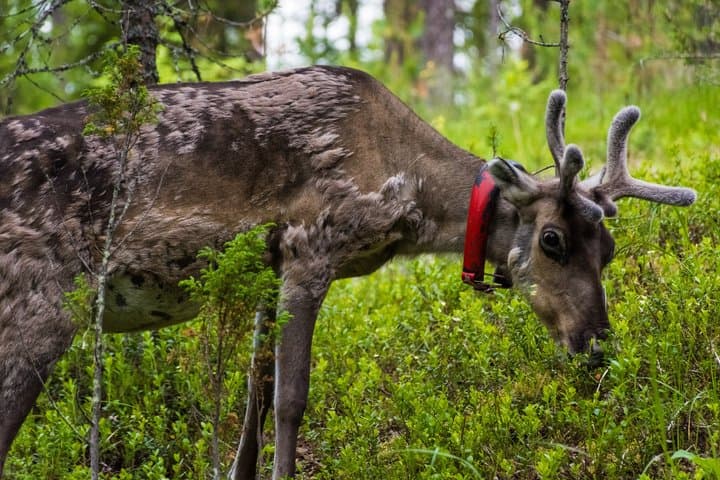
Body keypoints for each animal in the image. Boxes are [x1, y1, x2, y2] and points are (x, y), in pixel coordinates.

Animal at [0, 65, 695, 479]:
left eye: (608, 249)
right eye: (552, 240)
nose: (596, 344)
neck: (409, 193)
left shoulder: (265, 274)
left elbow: (254, 401)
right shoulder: (311, 250)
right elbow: (290, 401)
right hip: (42, 306)